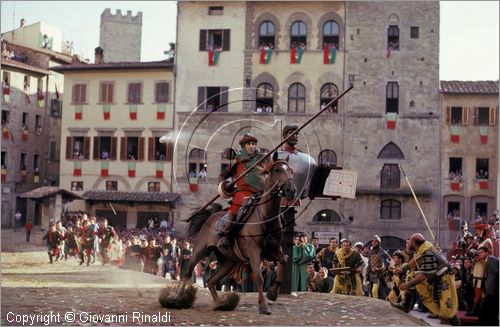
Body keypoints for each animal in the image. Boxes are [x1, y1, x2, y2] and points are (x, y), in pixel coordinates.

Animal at [176, 159, 294, 316]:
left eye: (291, 170)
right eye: (278, 170)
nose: (291, 190)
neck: (266, 217)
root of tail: (210, 217)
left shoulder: (273, 250)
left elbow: (284, 260)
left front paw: (273, 293)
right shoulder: (254, 251)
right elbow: (259, 277)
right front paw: (263, 306)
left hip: (229, 261)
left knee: (212, 281)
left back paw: (220, 304)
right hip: (199, 251)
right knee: (188, 273)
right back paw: (178, 299)